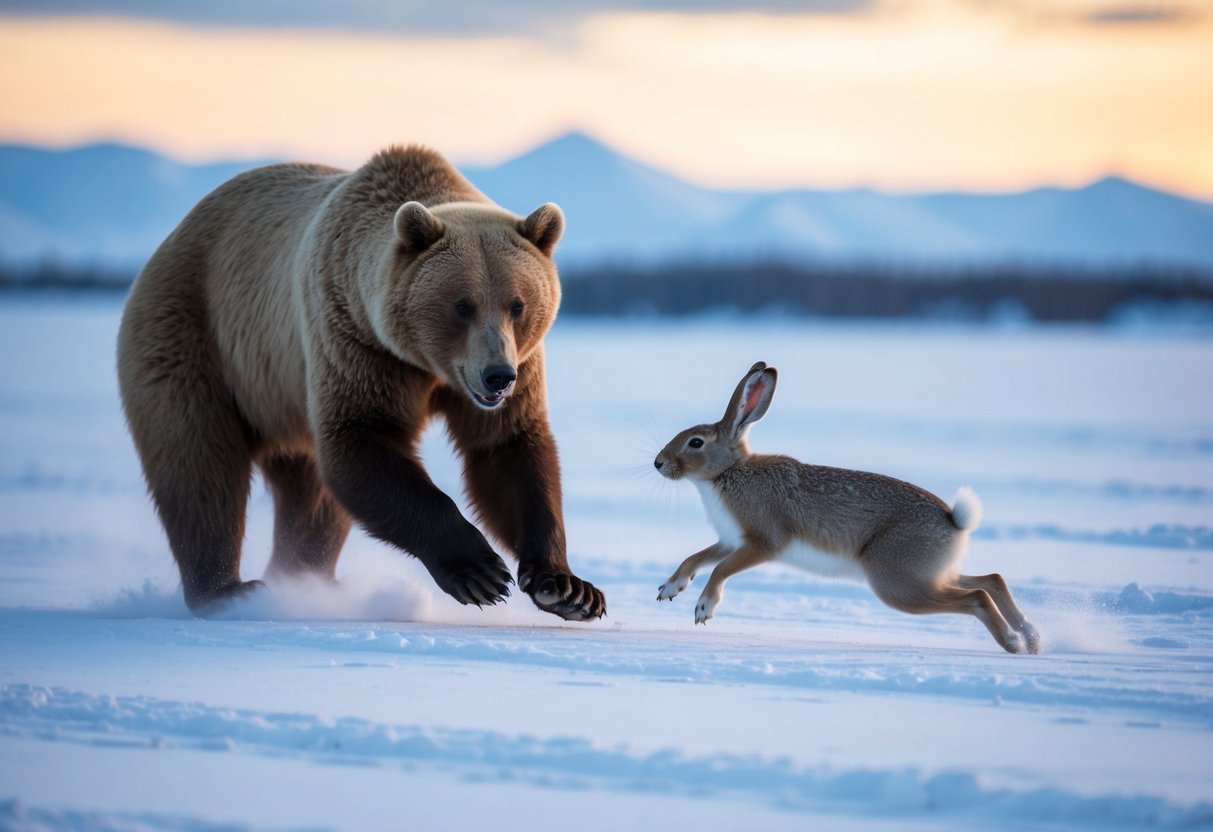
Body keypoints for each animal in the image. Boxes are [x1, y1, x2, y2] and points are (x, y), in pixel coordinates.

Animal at [116, 144, 605, 621]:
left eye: (517, 304)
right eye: (462, 305)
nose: (498, 376)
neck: (427, 365)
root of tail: (171, 239)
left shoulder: (513, 370)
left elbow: (508, 451)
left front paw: (568, 588)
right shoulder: (355, 344)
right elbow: (362, 440)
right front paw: (479, 572)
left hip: (281, 397)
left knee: (310, 497)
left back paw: (304, 579)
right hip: (195, 340)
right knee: (200, 467)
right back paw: (228, 591)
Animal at [653, 361, 1041, 654]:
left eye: (696, 443)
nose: (659, 463)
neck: (728, 472)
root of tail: (954, 521)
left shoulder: (762, 543)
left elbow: (721, 569)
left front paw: (704, 608)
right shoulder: (731, 540)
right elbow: (696, 557)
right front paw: (670, 588)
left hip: (897, 583)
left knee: (976, 597)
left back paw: (1013, 644)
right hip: (927, 573)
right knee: (991, 580)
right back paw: (1033, 639)